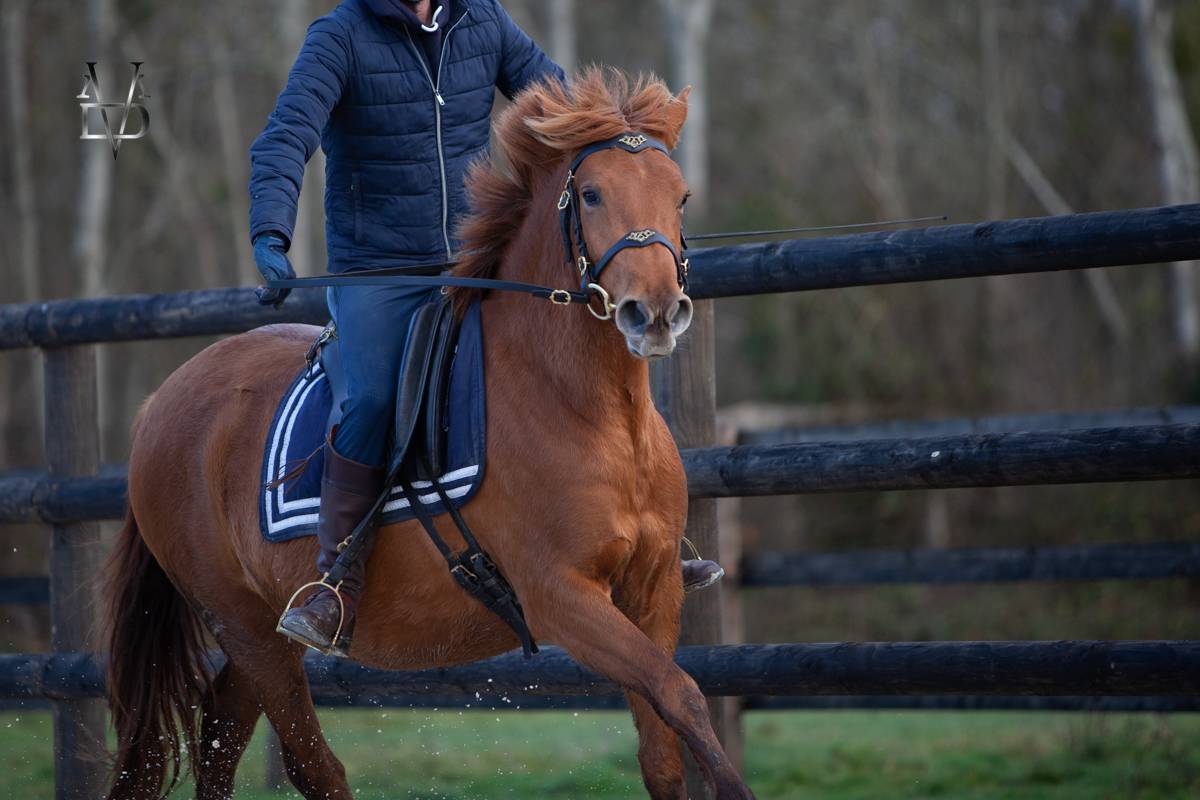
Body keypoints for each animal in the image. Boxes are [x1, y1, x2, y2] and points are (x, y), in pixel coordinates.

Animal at [102, 68, 754, 800]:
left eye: (680, 196)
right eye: (591, 194)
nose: (658, 313)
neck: (593, 413)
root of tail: (162, 403)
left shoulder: (653, 591)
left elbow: (667, 739)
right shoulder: (563, 599)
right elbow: (681, 693)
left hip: (254, 633)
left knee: (222, 731)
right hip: (243, 624)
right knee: (311, 762)